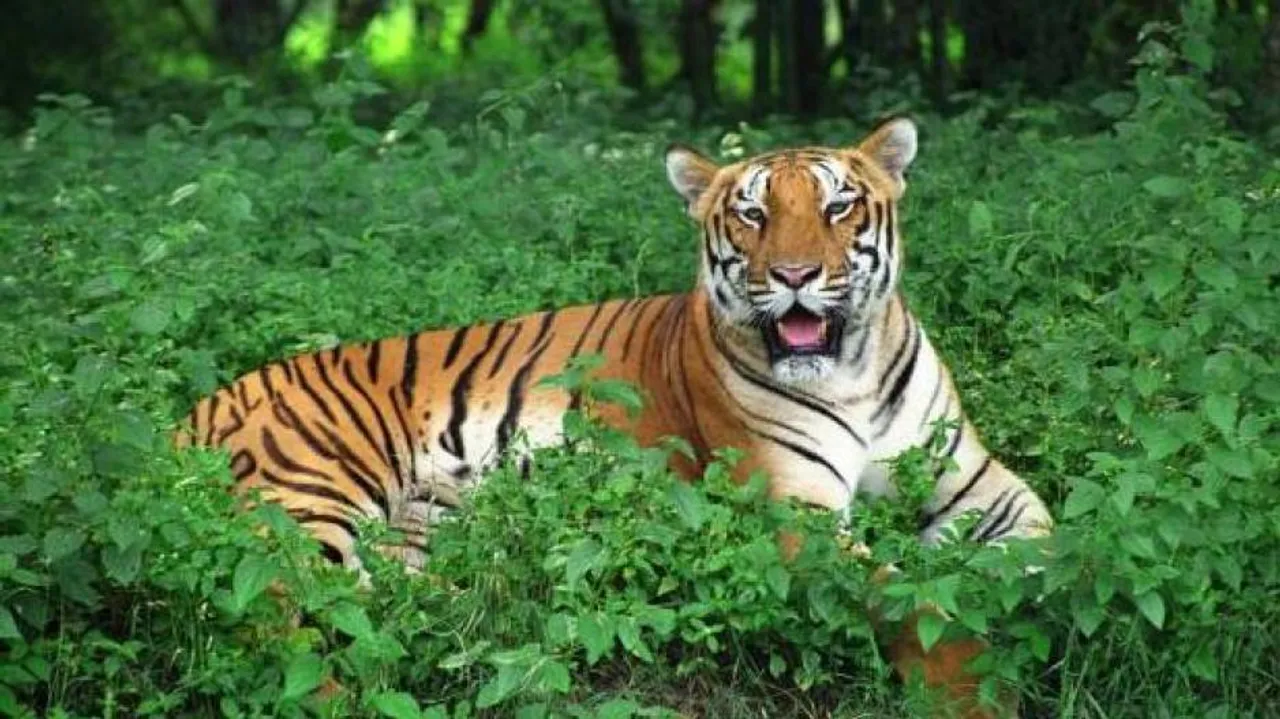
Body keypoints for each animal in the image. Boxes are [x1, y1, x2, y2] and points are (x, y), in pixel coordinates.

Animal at [177, 117, 1052, 716]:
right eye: (754, 216)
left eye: (839, 207)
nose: (796, 274)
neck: (853, 373)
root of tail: (204, 403)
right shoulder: (792, 516)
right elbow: (915, 600)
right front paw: (976, 691)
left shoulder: (976, 483)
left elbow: (1049, 548)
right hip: (308, 499)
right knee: (271, 617)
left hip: (415, 531)